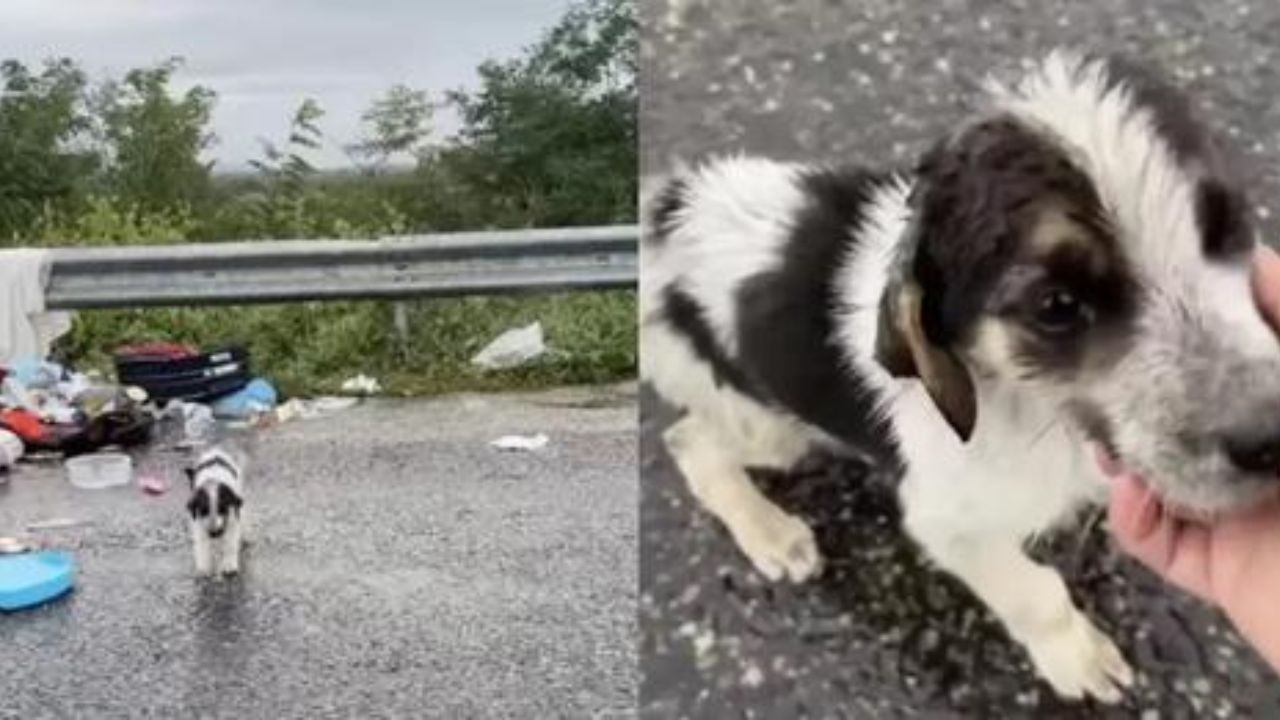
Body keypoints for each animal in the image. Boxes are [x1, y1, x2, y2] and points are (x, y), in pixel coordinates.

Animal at [185, 443, 247, 576]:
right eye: (204, 510)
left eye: (222, 509)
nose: (214, 534)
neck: (213, 480)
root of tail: (215, 452)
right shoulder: (198, 523)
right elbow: (202, 544)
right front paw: (203, 567)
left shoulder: (232, 517)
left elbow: (230, 541)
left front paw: (229, 565)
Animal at [645, 51, 1274, 702]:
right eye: (1057, 306)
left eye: (1227, 227)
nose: (1271, 440)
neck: (1034, 406)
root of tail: (668, 212)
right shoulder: (946, 521)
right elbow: (1037, 592)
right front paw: (1077, 656)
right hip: (768, 424)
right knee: (689, 442)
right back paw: (770, 531)